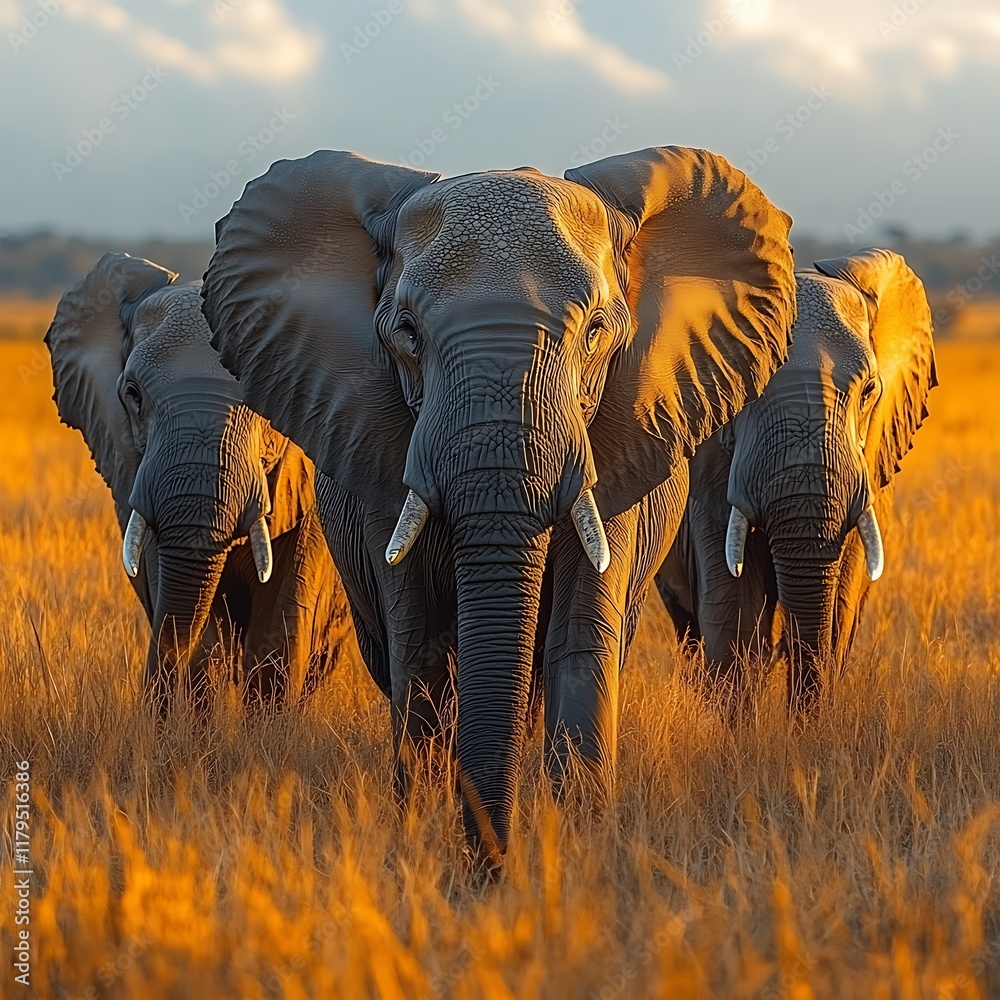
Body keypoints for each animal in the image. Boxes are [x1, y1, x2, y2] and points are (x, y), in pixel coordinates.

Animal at [201, 146, 796, 864]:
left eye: (596, 332)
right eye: (407, 333)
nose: (492, 866)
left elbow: (579, 641)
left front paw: (579, 844)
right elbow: (423, 647)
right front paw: (424, 833)